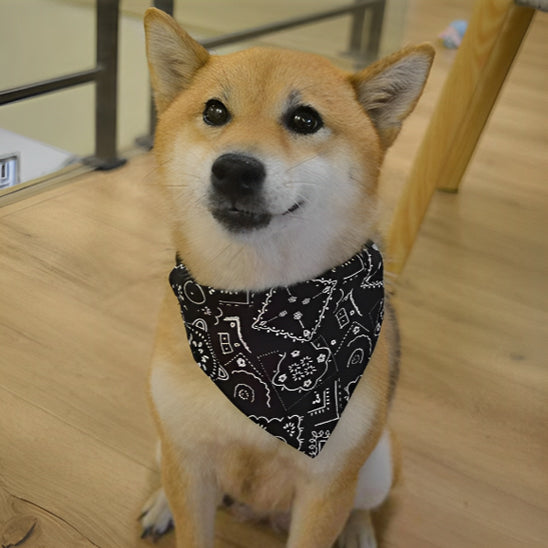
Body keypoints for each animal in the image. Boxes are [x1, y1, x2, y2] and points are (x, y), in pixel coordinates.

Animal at [140, 6, 432, 544]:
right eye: (215, 112)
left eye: (305, 120)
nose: (234, 169)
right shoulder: (188, 458)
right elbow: (191, 519)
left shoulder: (326, 488)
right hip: (164, 443)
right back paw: (160, 504)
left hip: (378, 463)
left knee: (363, 504)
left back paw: (358, 530)